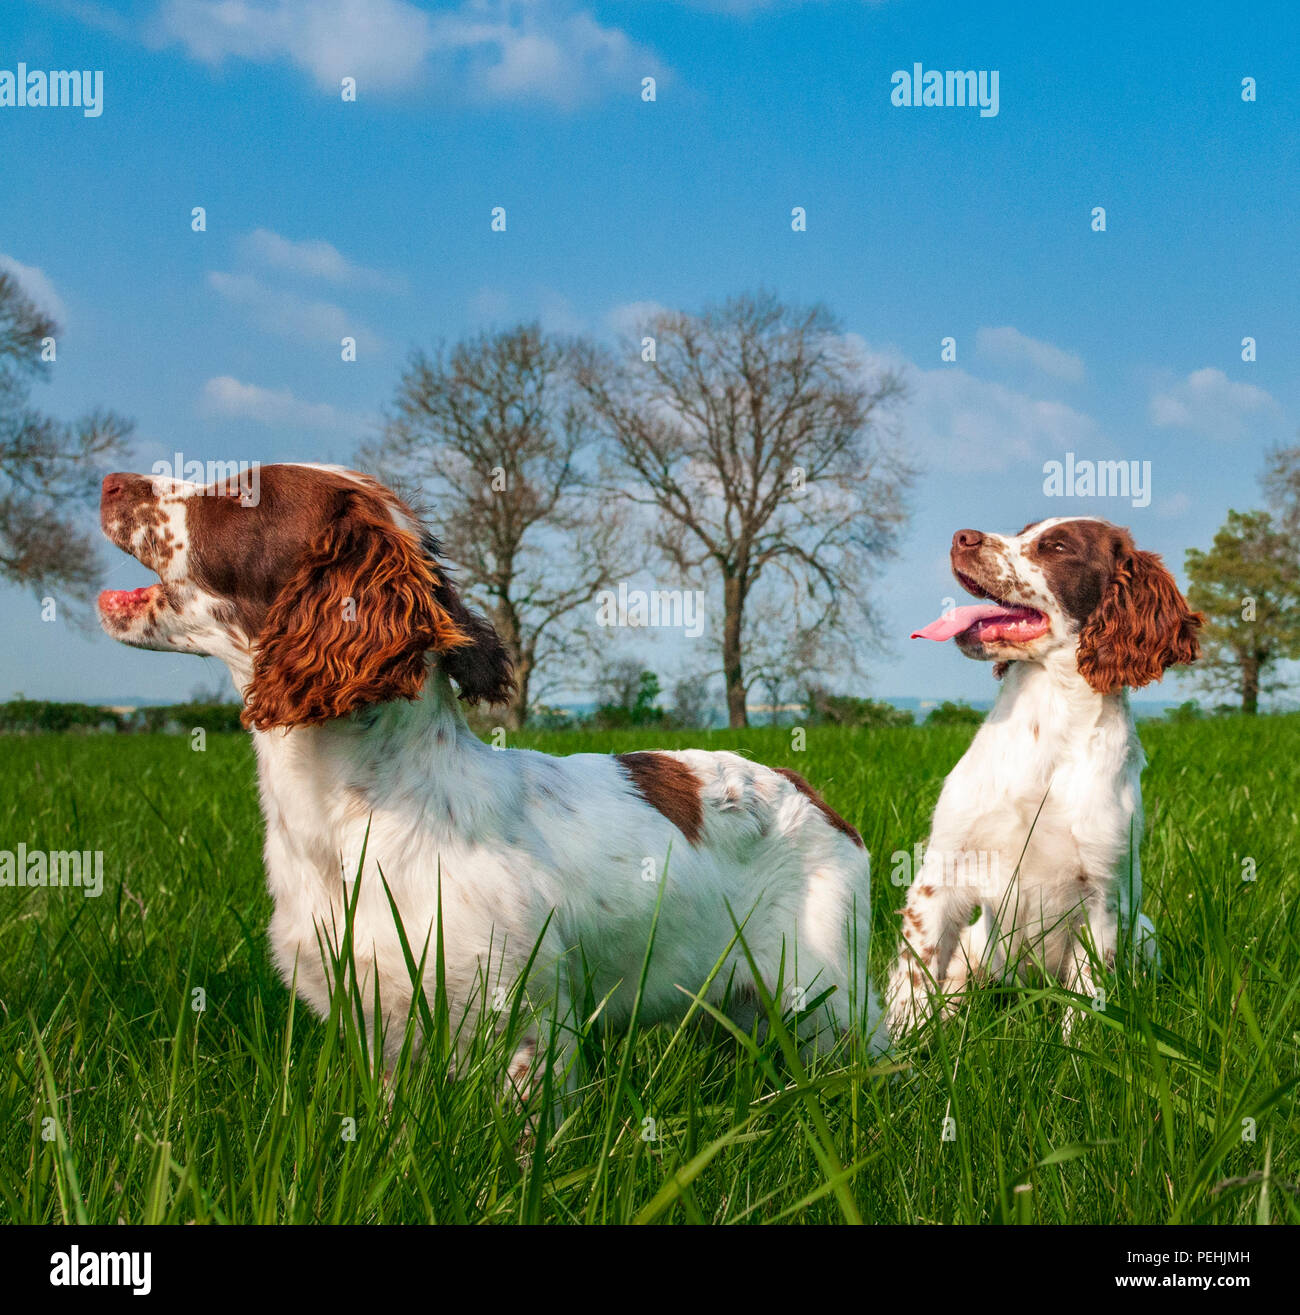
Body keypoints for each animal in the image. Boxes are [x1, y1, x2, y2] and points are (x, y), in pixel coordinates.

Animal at [99, 462, 883, 1088]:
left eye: (240, 492)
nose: (110, 481)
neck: (359, 806)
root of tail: (803, 786)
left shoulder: (524, 1018)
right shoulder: (379, 1023)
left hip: (826, 998)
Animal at [888, 512, 1204, 1036]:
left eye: (1056, 547)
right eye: (1023, 532)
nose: (961, 537)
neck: (1048, 720)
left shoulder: (1104, 897)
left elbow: (1087, 1001)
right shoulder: (942, 872)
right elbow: (914, 978)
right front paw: (899, 1048)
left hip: (1144, 932)